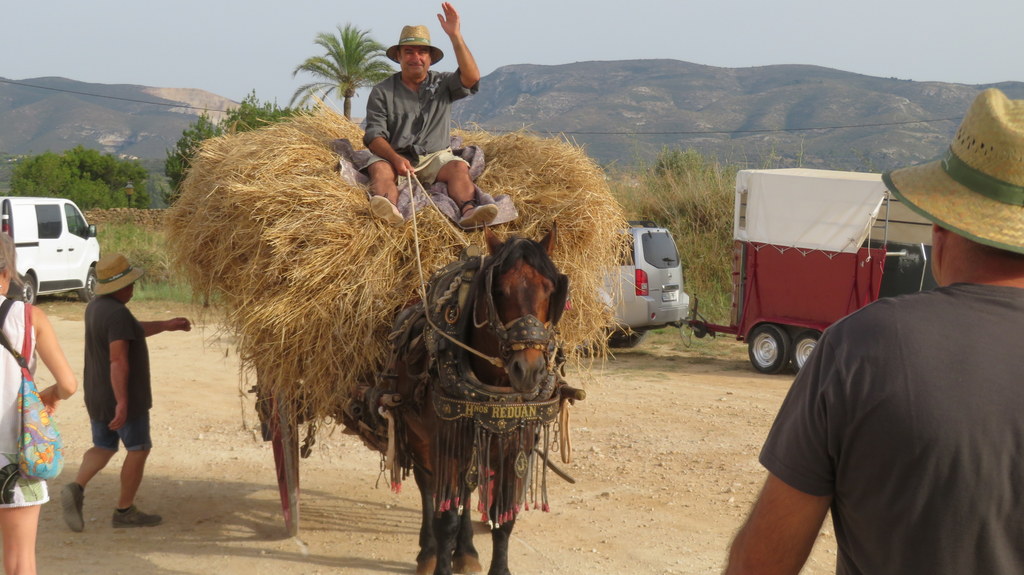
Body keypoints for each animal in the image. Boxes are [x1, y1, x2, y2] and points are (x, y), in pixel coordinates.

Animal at [348, 224, 577, 572]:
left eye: (551, 290)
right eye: (499, 291)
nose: (529, 370)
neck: (496, 387)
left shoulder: (517, 442)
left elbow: (503, 518)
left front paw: (495, 564)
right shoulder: (444, 441)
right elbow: (445, 518)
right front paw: (440, 559)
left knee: (466, 492)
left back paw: (466, 552)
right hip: (420, 437)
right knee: (430, 488)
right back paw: (428, 553)